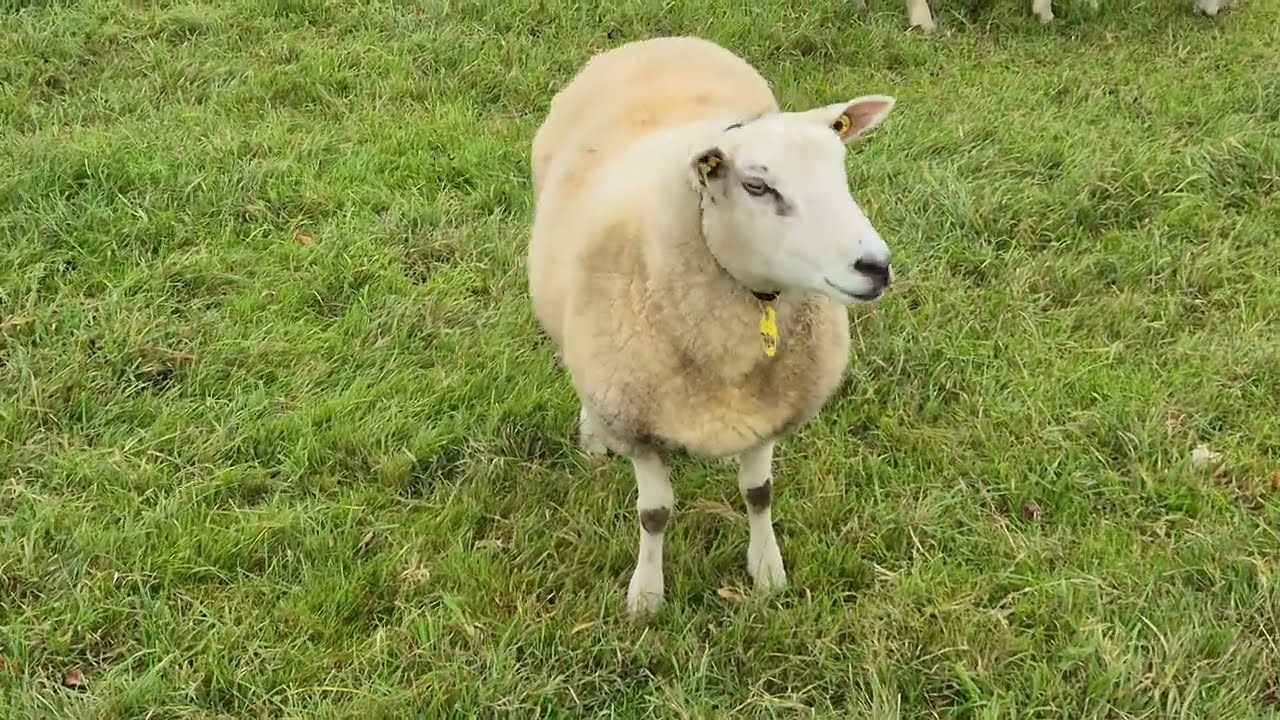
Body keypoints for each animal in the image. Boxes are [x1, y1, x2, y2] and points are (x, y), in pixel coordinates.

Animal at [527, 36, 898, 617]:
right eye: (757, 186)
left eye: (841, 172)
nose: (876, 266)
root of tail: (660, 39)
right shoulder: (639, 423)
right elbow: (654, 515)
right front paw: (646, 597)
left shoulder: (770, 412)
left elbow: (759, 494)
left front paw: (767, 572)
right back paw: (592, 434)